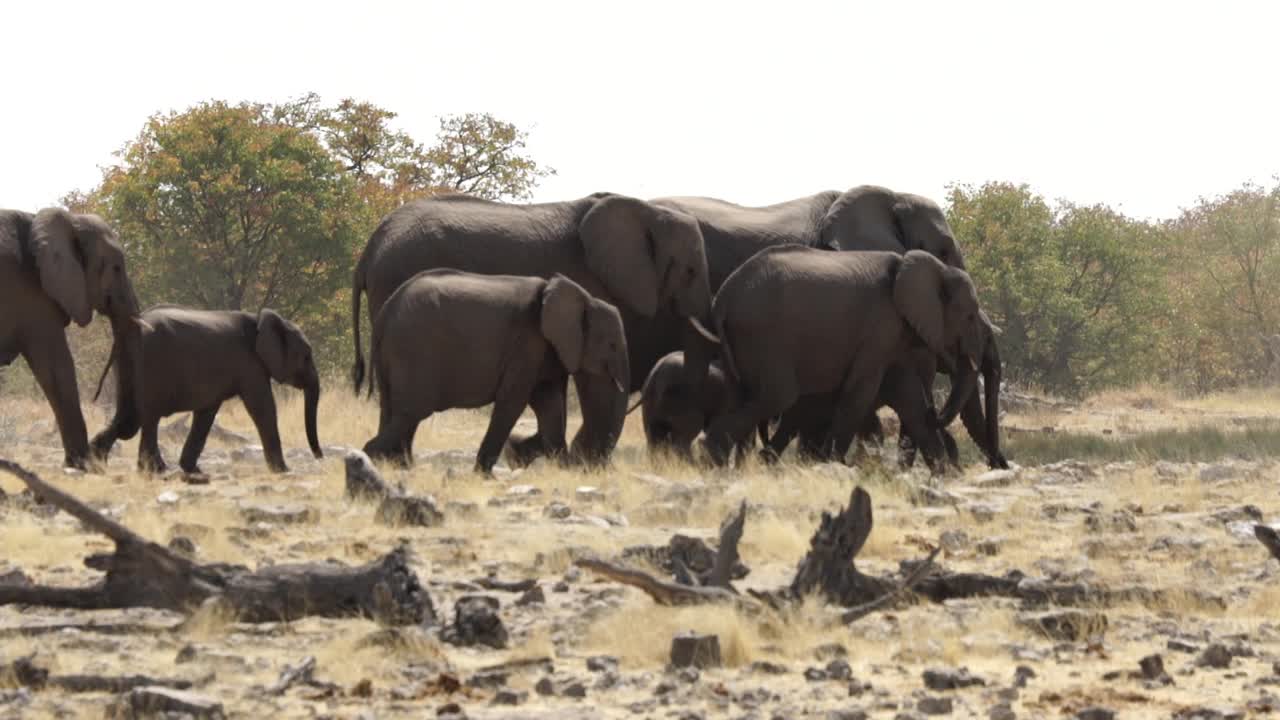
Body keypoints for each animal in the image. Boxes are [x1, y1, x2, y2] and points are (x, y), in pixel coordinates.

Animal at [90, 304, 320, 474]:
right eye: (307, 356)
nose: (320, 457)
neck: (260, 319)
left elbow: (207, 413)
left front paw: (192, 470)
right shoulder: (250, 365)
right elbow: (263, 408)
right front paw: (283, 471)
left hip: (127, 366)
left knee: (127, 418)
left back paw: (94, 464)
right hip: (152, 362)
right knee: (148, 417)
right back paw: (156, 471)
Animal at [363, 269, 627, 471]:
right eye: (612, 344)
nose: (587, 465)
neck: (584, 297)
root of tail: (385, 312)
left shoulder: (544, 350)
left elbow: (550, 404)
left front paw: (557, 468)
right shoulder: (527, 343)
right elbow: (513, 402)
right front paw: (486, 474)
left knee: (394, 410)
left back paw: (396, 466)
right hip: (414, 349)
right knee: (412, 411)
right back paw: (372, 455)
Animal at [655, 184, 1003, 466]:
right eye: (944, 250)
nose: (999, 465)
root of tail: (724, 300)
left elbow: (904, 392)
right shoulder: (878, 326)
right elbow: (861, 393)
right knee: (779, 395)